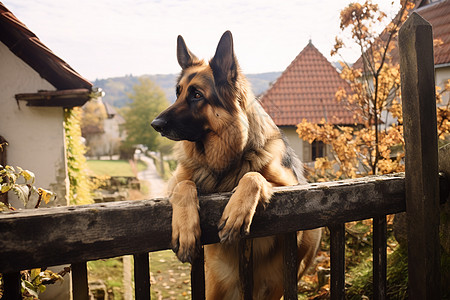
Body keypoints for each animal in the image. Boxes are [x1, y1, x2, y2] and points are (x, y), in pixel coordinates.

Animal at [153, 31, 322, 298]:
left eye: (196, 95)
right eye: (178, 92)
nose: (155, 124)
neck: (226, 161)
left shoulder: (293, 189)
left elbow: (253, 176)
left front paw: (237, 211)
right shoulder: (174, 185)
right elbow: (184, 185)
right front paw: (186, 230)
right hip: (216, 283)